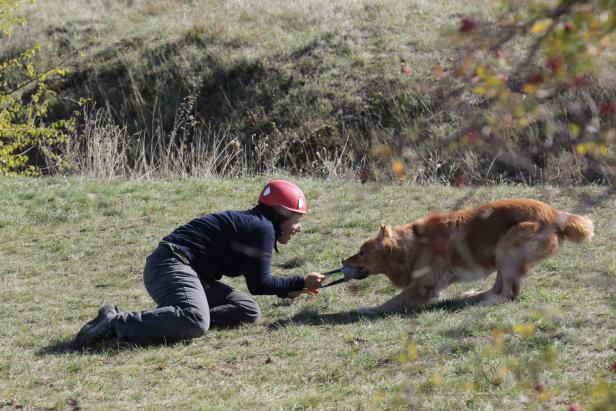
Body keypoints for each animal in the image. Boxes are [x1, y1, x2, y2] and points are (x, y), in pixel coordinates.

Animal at [344, 199, 596, 316]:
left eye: (362, 253)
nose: (342, 262)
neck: (413, 244)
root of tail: (556, 214)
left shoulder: (422, 284)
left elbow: (393, 300)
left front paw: (369, 309)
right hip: (500, 254)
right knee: (498, 286)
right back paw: (475, 296)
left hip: (507, 246)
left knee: (509, 293)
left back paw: (487, 302)